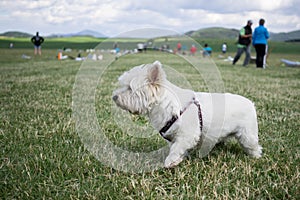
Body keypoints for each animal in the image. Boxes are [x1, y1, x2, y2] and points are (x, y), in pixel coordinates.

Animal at [112, 60, 262, 167]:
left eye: (129, 88)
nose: (114, 97)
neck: (168, 106)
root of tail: (250, 103)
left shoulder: (187, 135)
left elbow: (176, 148)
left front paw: (170, 161)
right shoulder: (173, 136)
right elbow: (176, 148)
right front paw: (178, 160)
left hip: (247, 134)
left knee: (254, 146)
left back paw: (256, 157)